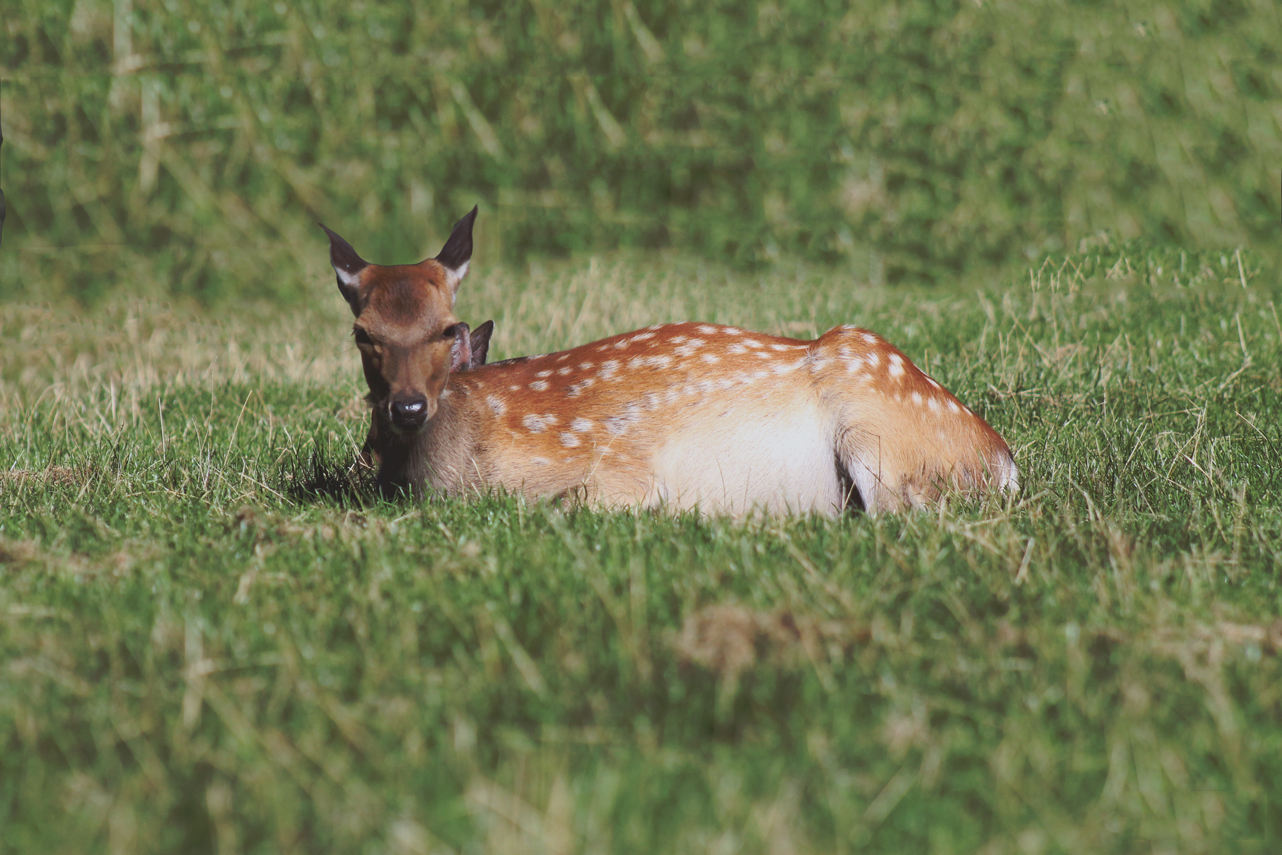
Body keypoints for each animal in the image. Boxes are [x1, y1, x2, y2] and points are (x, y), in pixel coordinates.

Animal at [323, 208, 1020, 515]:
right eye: (362, 334)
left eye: (447, 331)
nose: (407, 407)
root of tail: (1005, 463)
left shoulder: (616, 471)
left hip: (886, 442)